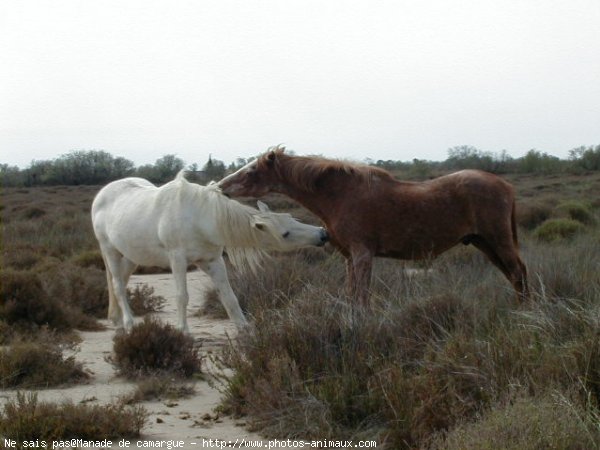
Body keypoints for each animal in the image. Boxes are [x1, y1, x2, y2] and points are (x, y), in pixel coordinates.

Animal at [91, 171, 328, 332]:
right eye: (285, 233)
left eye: (292, 217)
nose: (323, 234)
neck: (201, 218)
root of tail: (102, 194)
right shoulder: (178, 260)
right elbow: (182, 296)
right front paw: (183, 332)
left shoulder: (213, 261)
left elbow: (229, 297)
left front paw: (245, 330)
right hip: (110, 250)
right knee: (117, 285)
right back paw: (129, 323)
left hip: (132, 256)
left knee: (121, 281)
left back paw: (117, 320)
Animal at [218, 147, 528, 302]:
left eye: (253, 170)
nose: (222, 186)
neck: (341, 195)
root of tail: (505, 185)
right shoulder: (349, 258)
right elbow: (352, 296)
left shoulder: (362, 255)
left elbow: (361, 298)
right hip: (484, 243)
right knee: (514, 276)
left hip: (498, 240)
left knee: (518, 273)